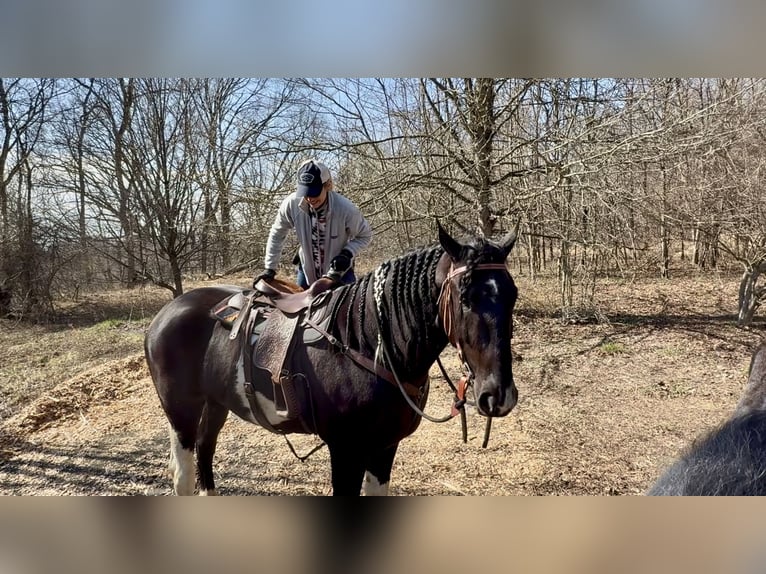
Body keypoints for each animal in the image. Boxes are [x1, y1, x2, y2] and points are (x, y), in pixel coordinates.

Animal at [144, 224, 519, 495]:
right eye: (466, 297)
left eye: (512, 295)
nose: (499, 396)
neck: (365, 343)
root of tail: (167, 311)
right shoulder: (345, 451)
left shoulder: (384, 448)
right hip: (181, 411)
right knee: (184, 473)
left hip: (216, 403)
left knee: (205, 451)